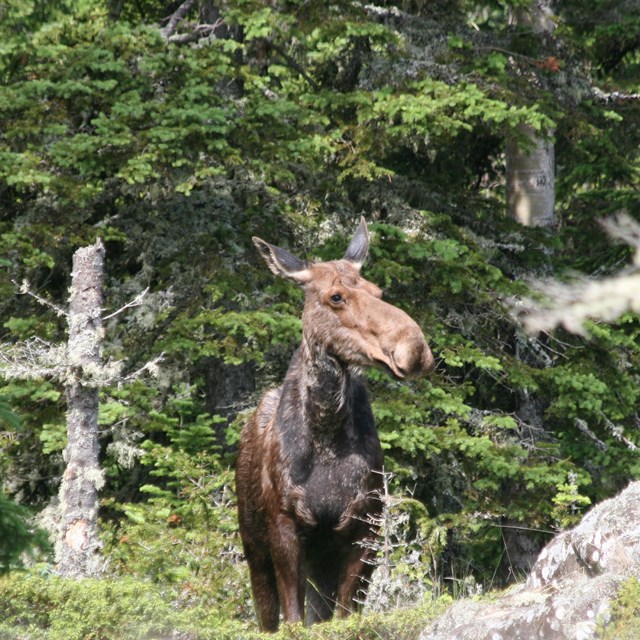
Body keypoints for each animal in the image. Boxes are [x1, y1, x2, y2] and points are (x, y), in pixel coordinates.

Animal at [235, 219, 436, 632]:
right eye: (336, 297)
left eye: (377, 291)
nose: (415, 348)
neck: (325, 432)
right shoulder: (284, 524)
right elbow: (293, 621)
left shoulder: (364, 525)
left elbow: (344, 616)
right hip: (252, 543)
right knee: (267, 616)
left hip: (321, 558)